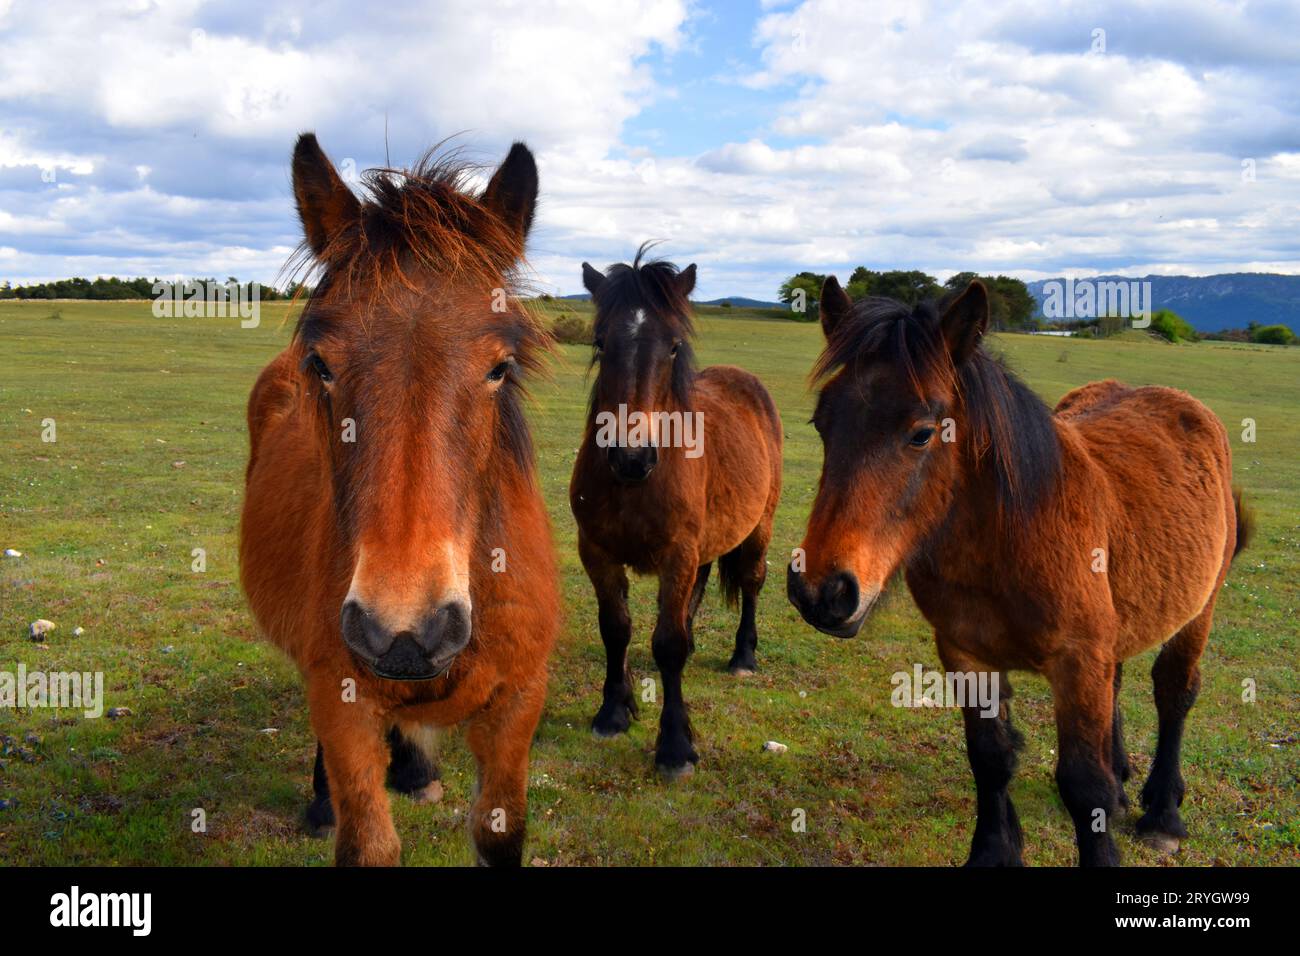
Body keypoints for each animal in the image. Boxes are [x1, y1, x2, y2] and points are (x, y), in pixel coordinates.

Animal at [240, 133, 559, 866]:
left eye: (501, 366)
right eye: (322, 365)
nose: (406, 632)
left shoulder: (518, 707)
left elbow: (501, 830)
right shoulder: (340, 700)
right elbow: (366, 839)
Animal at [570, 247, 783, 779]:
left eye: (672, 347)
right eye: (600, 342)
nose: (632, 456)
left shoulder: (677, 554)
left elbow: (667, 644)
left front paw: (675, 745)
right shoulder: (596, 552)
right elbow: (616, 628)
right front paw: (613, 711)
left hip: (759, 528)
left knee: (751, 581)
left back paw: (743, 656)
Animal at [787, 277, 1251, 866]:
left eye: (921, 433)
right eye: (821, 424)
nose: (821, 591)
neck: (1005, 544)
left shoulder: (1077, 662)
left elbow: (1084, 784)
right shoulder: (967, 656)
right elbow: (990, 757)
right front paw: (994, 851)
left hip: (1198, 610)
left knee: (1174, 694)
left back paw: (1163, 812)